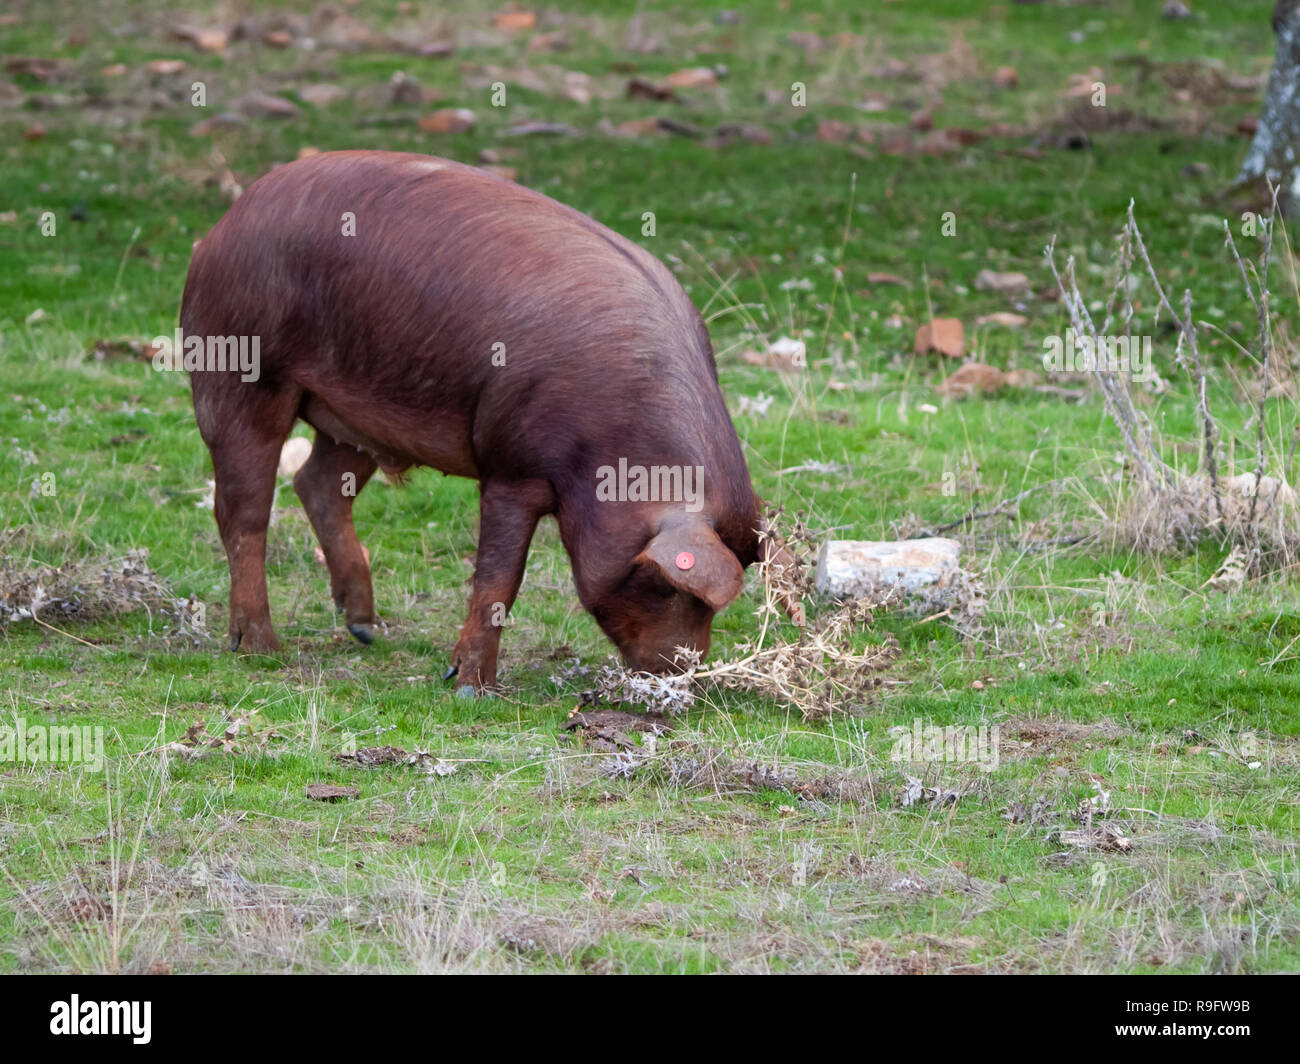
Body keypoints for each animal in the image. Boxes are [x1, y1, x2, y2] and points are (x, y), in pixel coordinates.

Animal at [178, 153, 795, 691]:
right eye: (669, 588)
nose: (685, 674)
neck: (614, 449)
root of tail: (221, 229)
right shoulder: (512, 467)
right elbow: (500, 577)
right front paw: (469, 686)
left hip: (356, 415)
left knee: (318, 484)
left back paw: (366, 631)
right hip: (240, 371)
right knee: (243, 509)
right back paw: (260, 648)